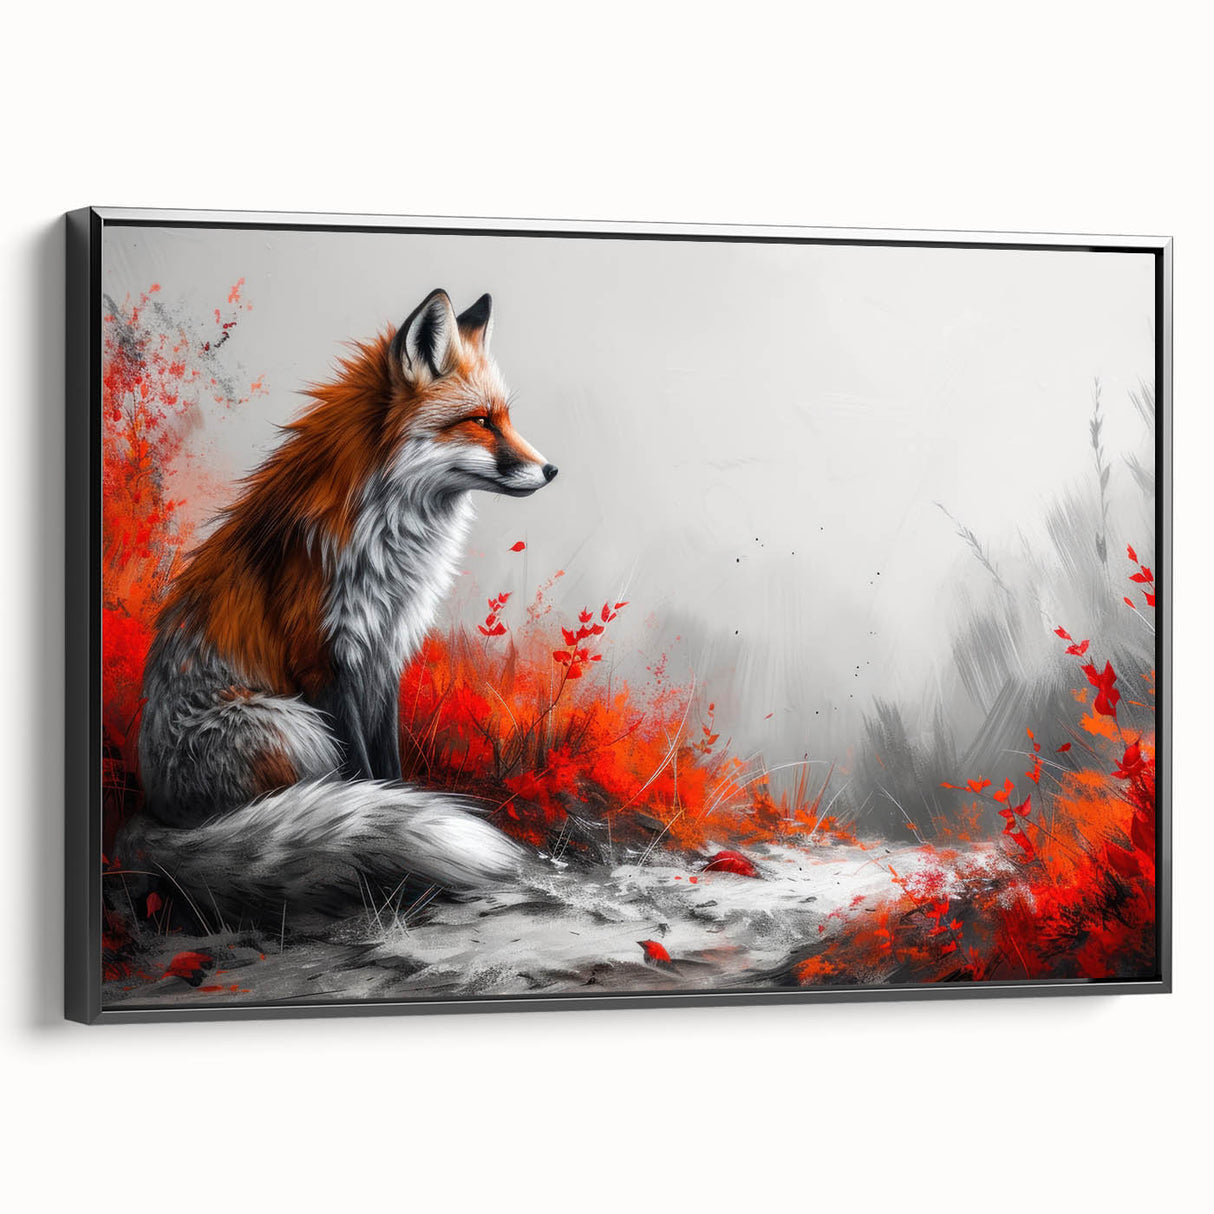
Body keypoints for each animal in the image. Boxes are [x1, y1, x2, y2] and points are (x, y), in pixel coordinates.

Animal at [116, 289, 558, 926]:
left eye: (505, 418)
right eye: (480, 422)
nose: (551, 469)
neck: (390, 541)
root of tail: (153, 814)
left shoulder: (385, 652)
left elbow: (388, 772)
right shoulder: (324, 659)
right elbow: (363, 779)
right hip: (293, 726)